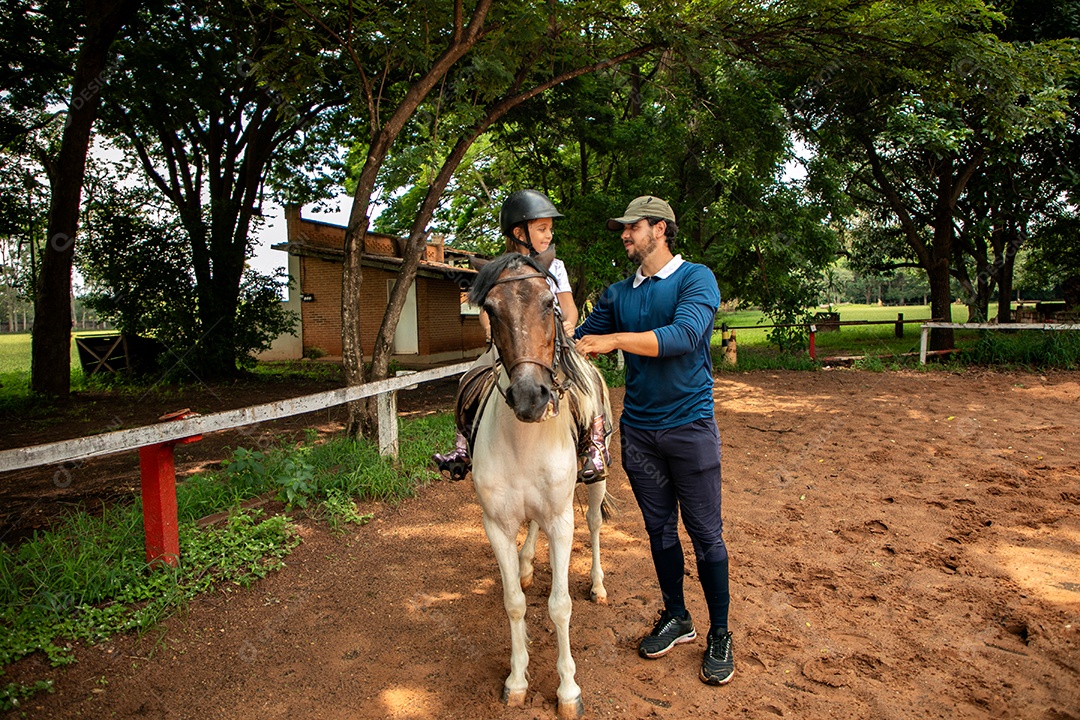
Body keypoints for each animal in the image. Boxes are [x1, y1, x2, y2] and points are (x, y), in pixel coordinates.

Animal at [466, 247, 612, 719]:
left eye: (550, 304)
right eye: (491, 310)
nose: (531, 397)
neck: (524, 439)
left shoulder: (562, 521)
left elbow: (560, 606)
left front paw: (567, 690)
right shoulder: (496, 524)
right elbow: (514, 602)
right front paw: (516, 681)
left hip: (596, 483)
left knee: (595, 524)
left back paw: (598, 585)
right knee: (531, 530)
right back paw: (529, 563)